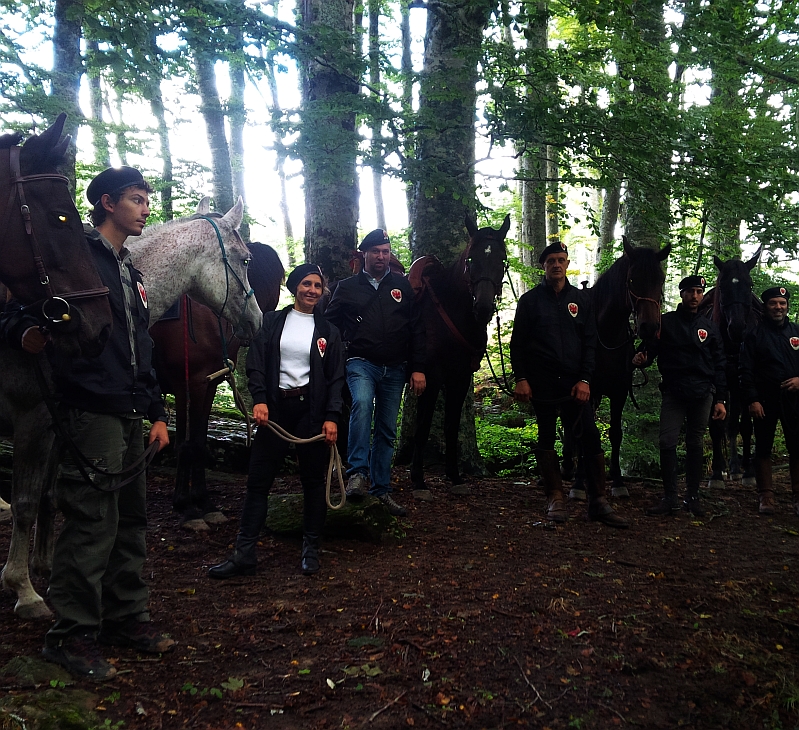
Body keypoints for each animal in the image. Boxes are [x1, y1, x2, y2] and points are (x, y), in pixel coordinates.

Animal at [152, 239, 286, 528]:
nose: (258, 327)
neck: (210, 320)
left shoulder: (209, 384)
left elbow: (199, 443)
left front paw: (203, 502)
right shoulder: (188, 387)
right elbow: (185, 445)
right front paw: (185, 505)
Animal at [406, 210, 512, 494]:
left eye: (502, 259)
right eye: (471, 259)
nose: (483, 307)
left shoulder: (461, 376)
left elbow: (452, 426)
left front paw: (454, 475)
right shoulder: (431, 376)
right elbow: (422, 427)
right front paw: (418, 478)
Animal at [700, 250, 764, 490]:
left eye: (750, 284)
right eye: (723, 285)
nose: (737, 328)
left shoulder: (745, 382)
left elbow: (745, 426)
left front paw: (749, 472)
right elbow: (717, 426)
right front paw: (717, 473)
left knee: (736, 425)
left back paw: (739, 467)